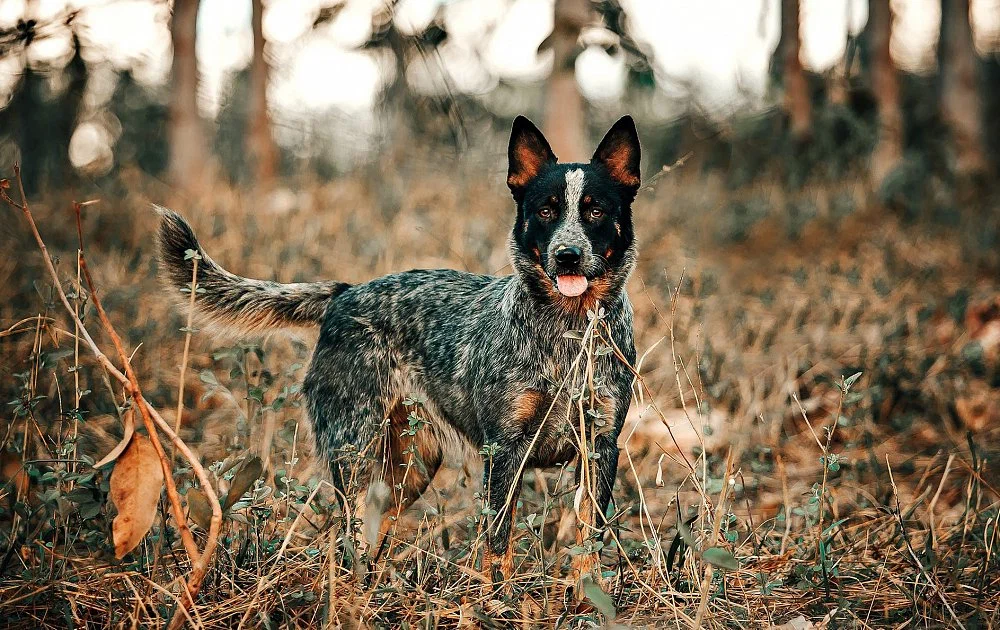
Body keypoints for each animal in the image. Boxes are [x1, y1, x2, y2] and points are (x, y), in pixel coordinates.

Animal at [156, 116, 640, 592]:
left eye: (596, 210)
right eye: (545, 210)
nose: (567, 255)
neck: (568, 330)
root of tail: (344, 294)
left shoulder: (600, 445)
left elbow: (589, 536)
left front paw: (587, 597)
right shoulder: (504, 449)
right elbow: (497, 542)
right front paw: (497, 602)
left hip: (410, 468)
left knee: (373, 528)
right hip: (354, 446)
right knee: (348, 531)